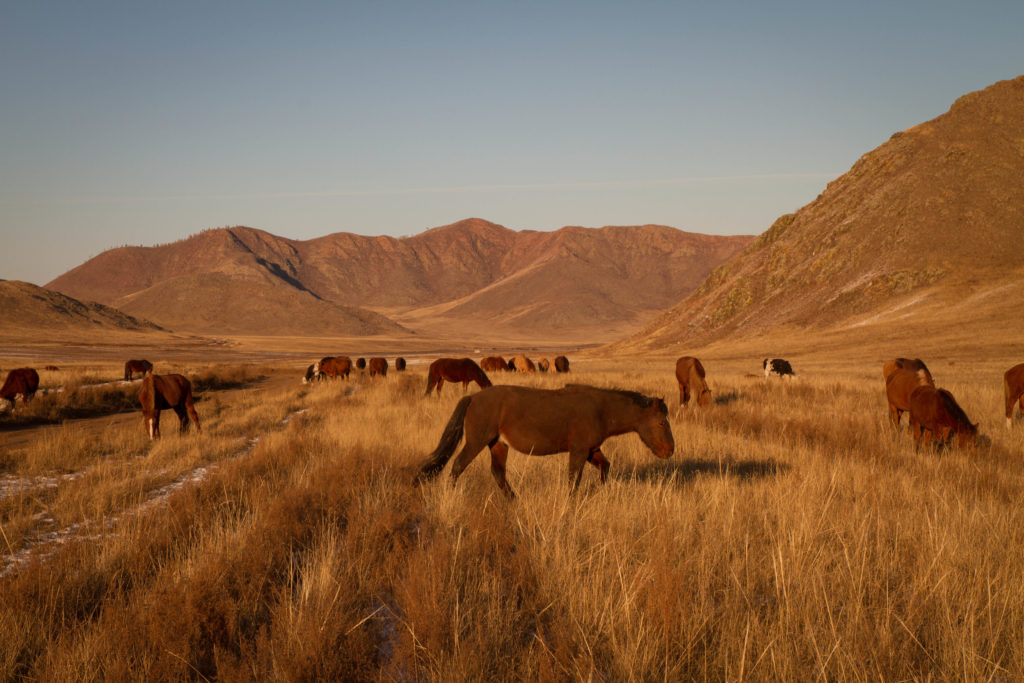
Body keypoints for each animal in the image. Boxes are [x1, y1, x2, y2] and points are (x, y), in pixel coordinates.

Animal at [411, 385, 675, 497]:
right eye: (662, 423)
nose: (670, 450)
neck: (601, 410)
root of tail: (474, 397)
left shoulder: (591, 450)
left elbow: (605, 468)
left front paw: (595, 490)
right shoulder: (579, 452)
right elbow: (573, 481)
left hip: (498, 445)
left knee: (498, 473)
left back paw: (513, 499)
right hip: (476, 442)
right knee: (457, 466)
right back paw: (451, 496)